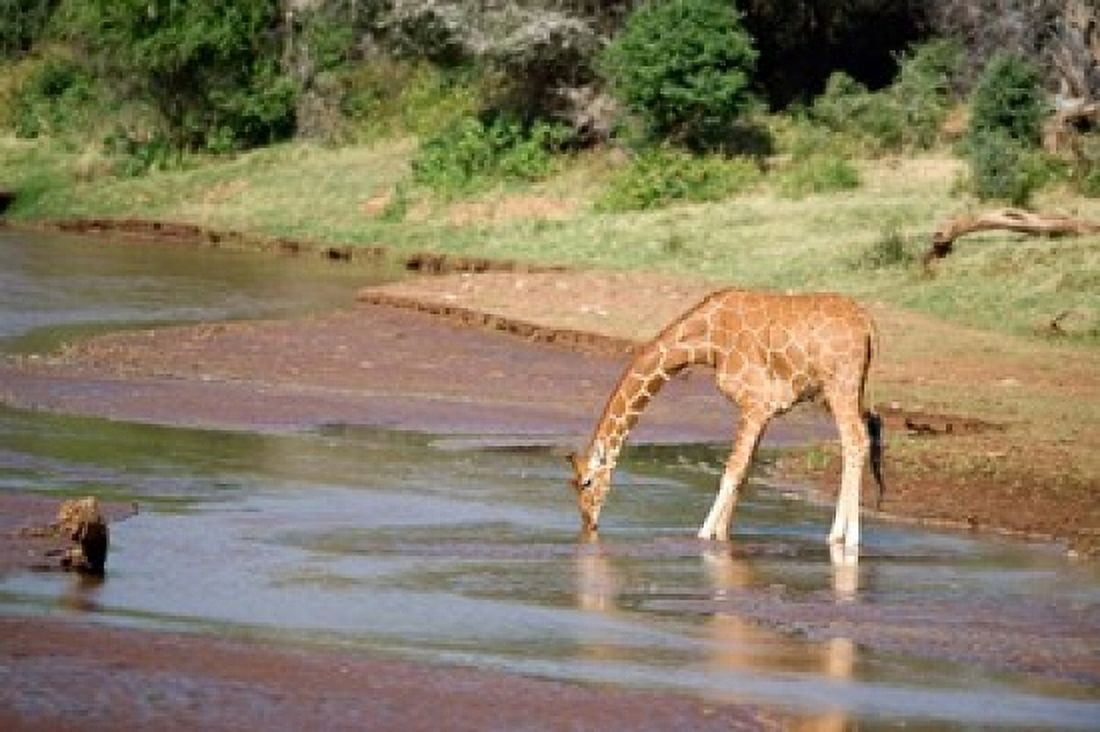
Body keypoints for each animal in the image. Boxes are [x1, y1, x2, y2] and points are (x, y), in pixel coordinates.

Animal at [569, 289, 884, 547]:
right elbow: (743, 473)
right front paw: (723, 535)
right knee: (859, 439)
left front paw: (703, 535)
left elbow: (731, 471)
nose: (589, 523)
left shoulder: (755, 403)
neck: (708, 342)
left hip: (840, 386)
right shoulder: (762, 411)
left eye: (586, 482)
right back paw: (841, 535)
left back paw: (846, 538)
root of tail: (868, 324)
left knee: (855, 440)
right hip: (848, 390)